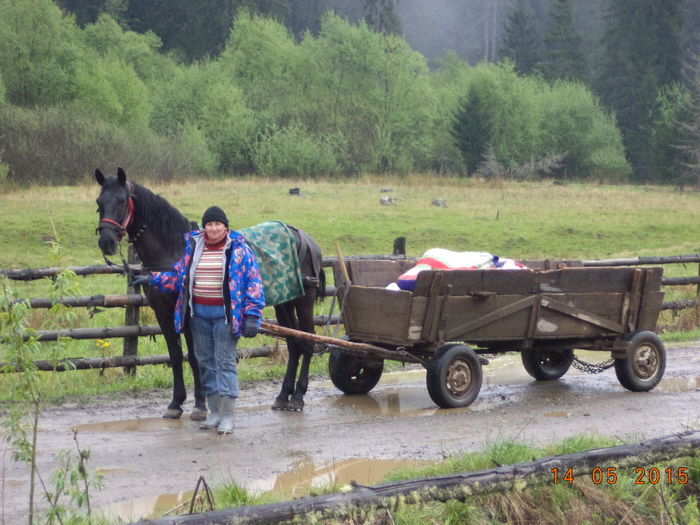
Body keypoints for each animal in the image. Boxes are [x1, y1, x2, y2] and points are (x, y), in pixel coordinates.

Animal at [94, 168, 326, 414]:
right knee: (294, 343)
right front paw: (176, 402)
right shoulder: (163, 314)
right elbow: (175, 356)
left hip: (304, 301)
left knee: (308, 341)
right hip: (284, 303)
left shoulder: (188, 315)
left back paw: (298, 396)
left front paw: (200, 403)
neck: (174, 251)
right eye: (99, 202)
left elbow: (195, 357)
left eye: (122, 200)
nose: (106, 242)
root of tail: (307, 239)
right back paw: (283, 395)